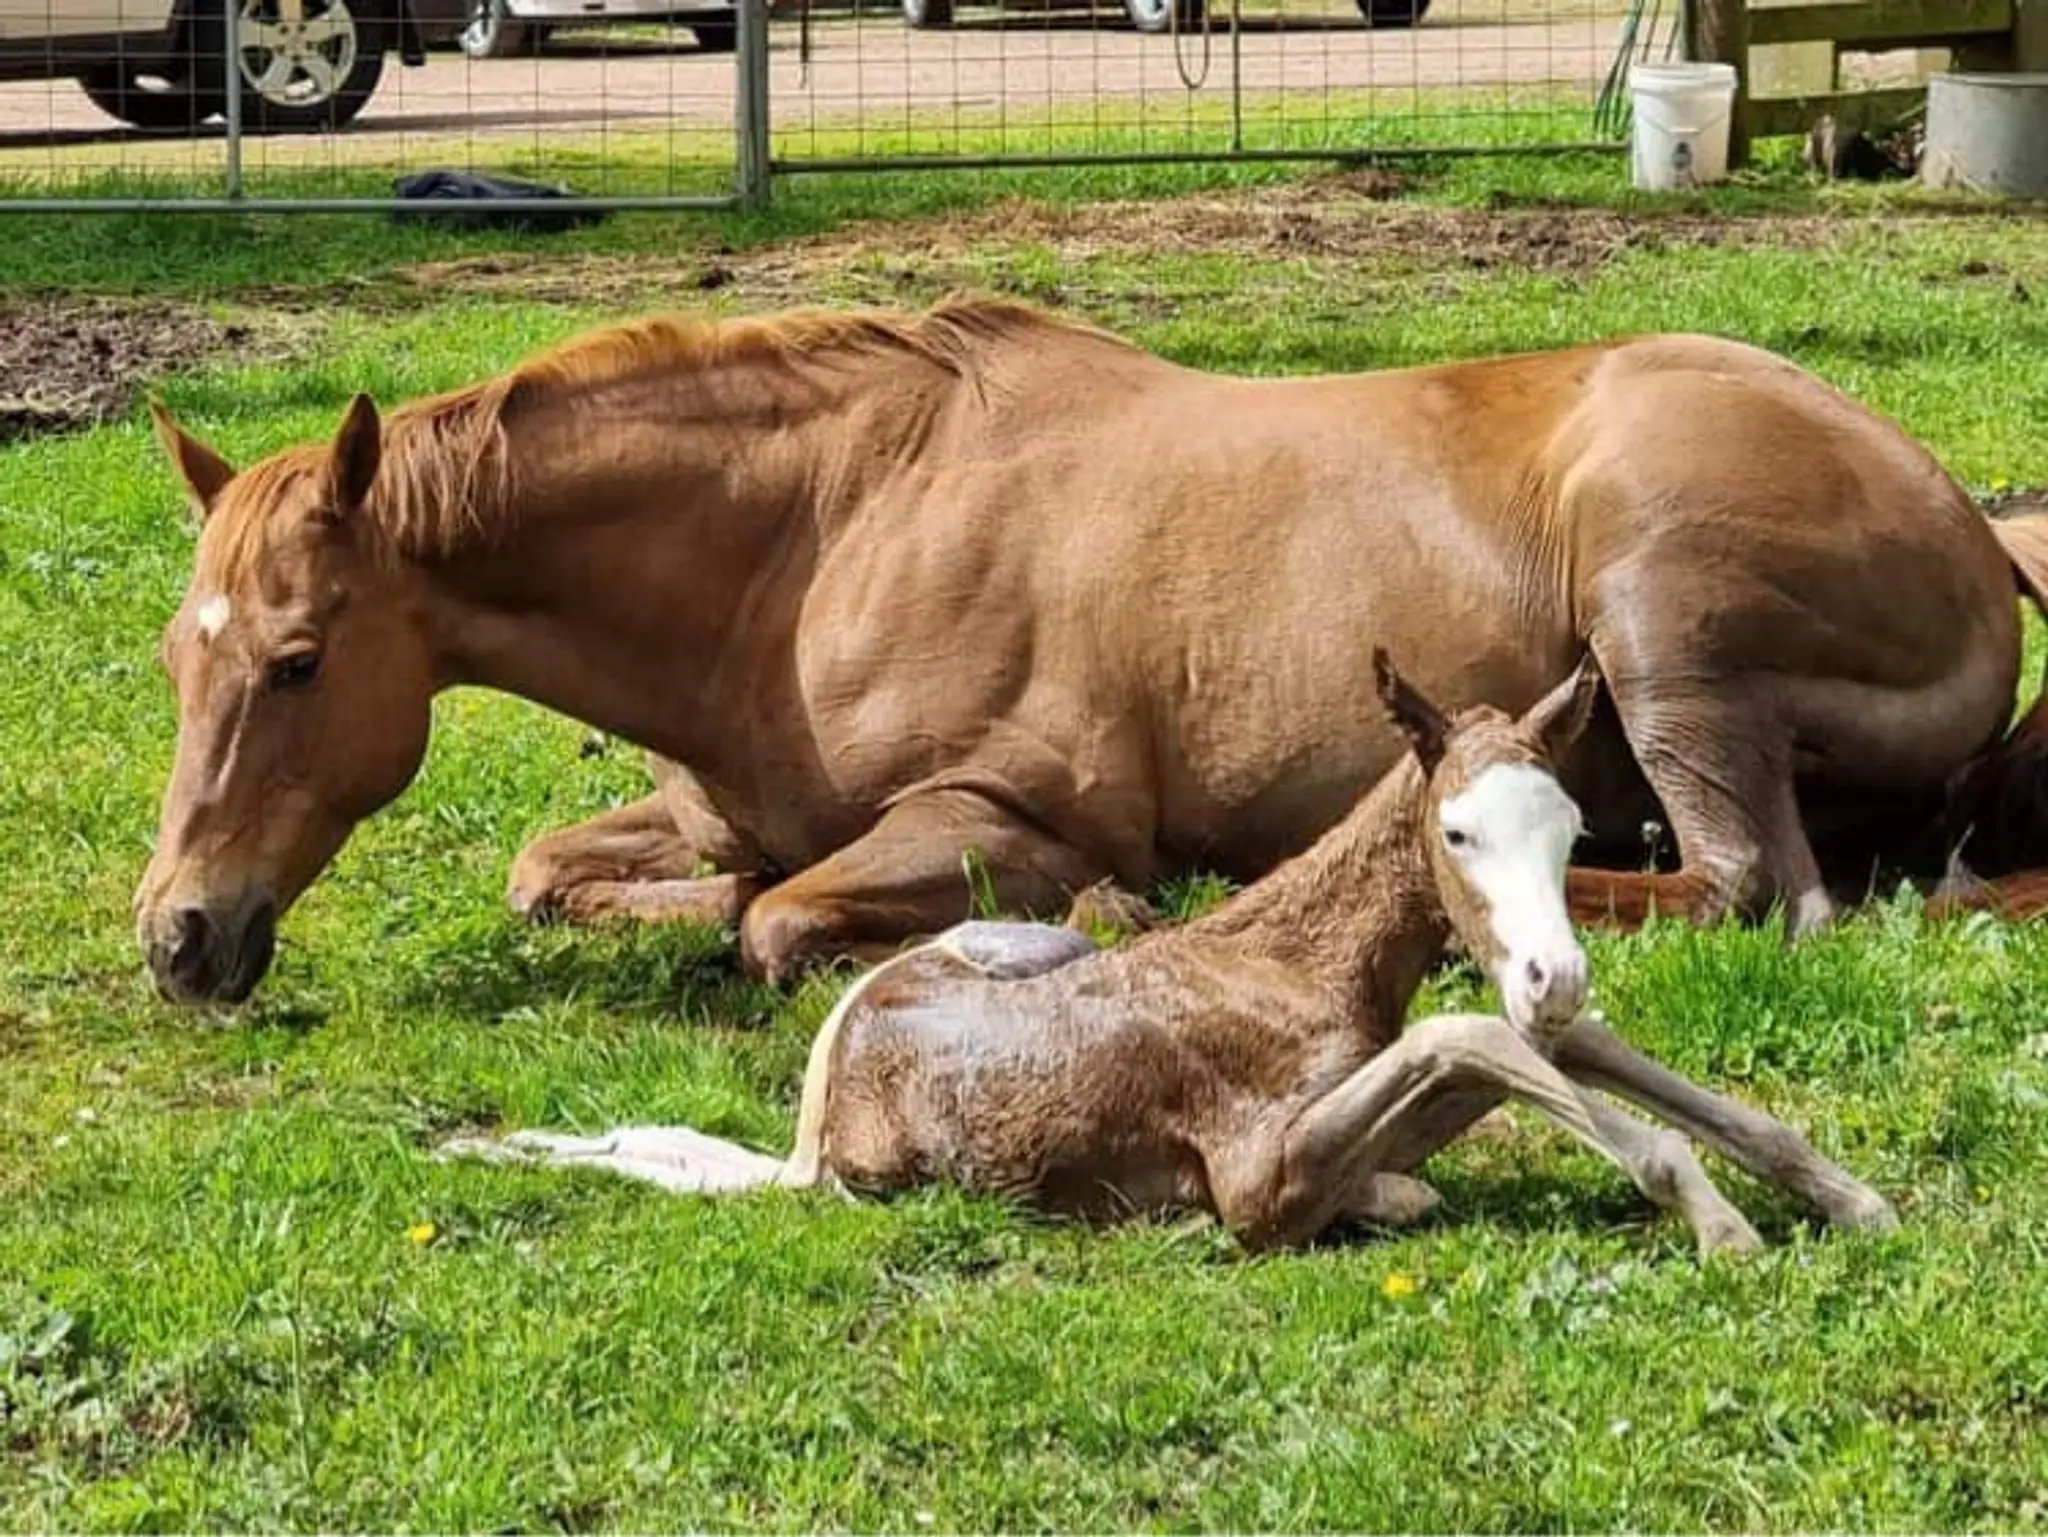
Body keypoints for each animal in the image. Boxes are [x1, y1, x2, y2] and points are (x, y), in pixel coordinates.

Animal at [134, 295, 2048, 1004]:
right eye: (177, 657)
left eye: (296, 661)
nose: (177, 935)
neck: (818, 541)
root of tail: (1972, 537)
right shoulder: (704, 805)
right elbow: (566, 871)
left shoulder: (1007, 817)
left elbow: (781, 924)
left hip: (1664, 632)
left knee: (1747, 887)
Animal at [442, 653, 1896, 1256]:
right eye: (1457, 829)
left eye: (1572, 832)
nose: (1556, 968)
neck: (1300, 964)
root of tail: (812, 1120)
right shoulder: (1264, 1179)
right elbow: (1472, 1033)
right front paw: (1716, 1220)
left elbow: (1561, 1052)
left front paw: (1841, 1195)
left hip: (1029, 929)